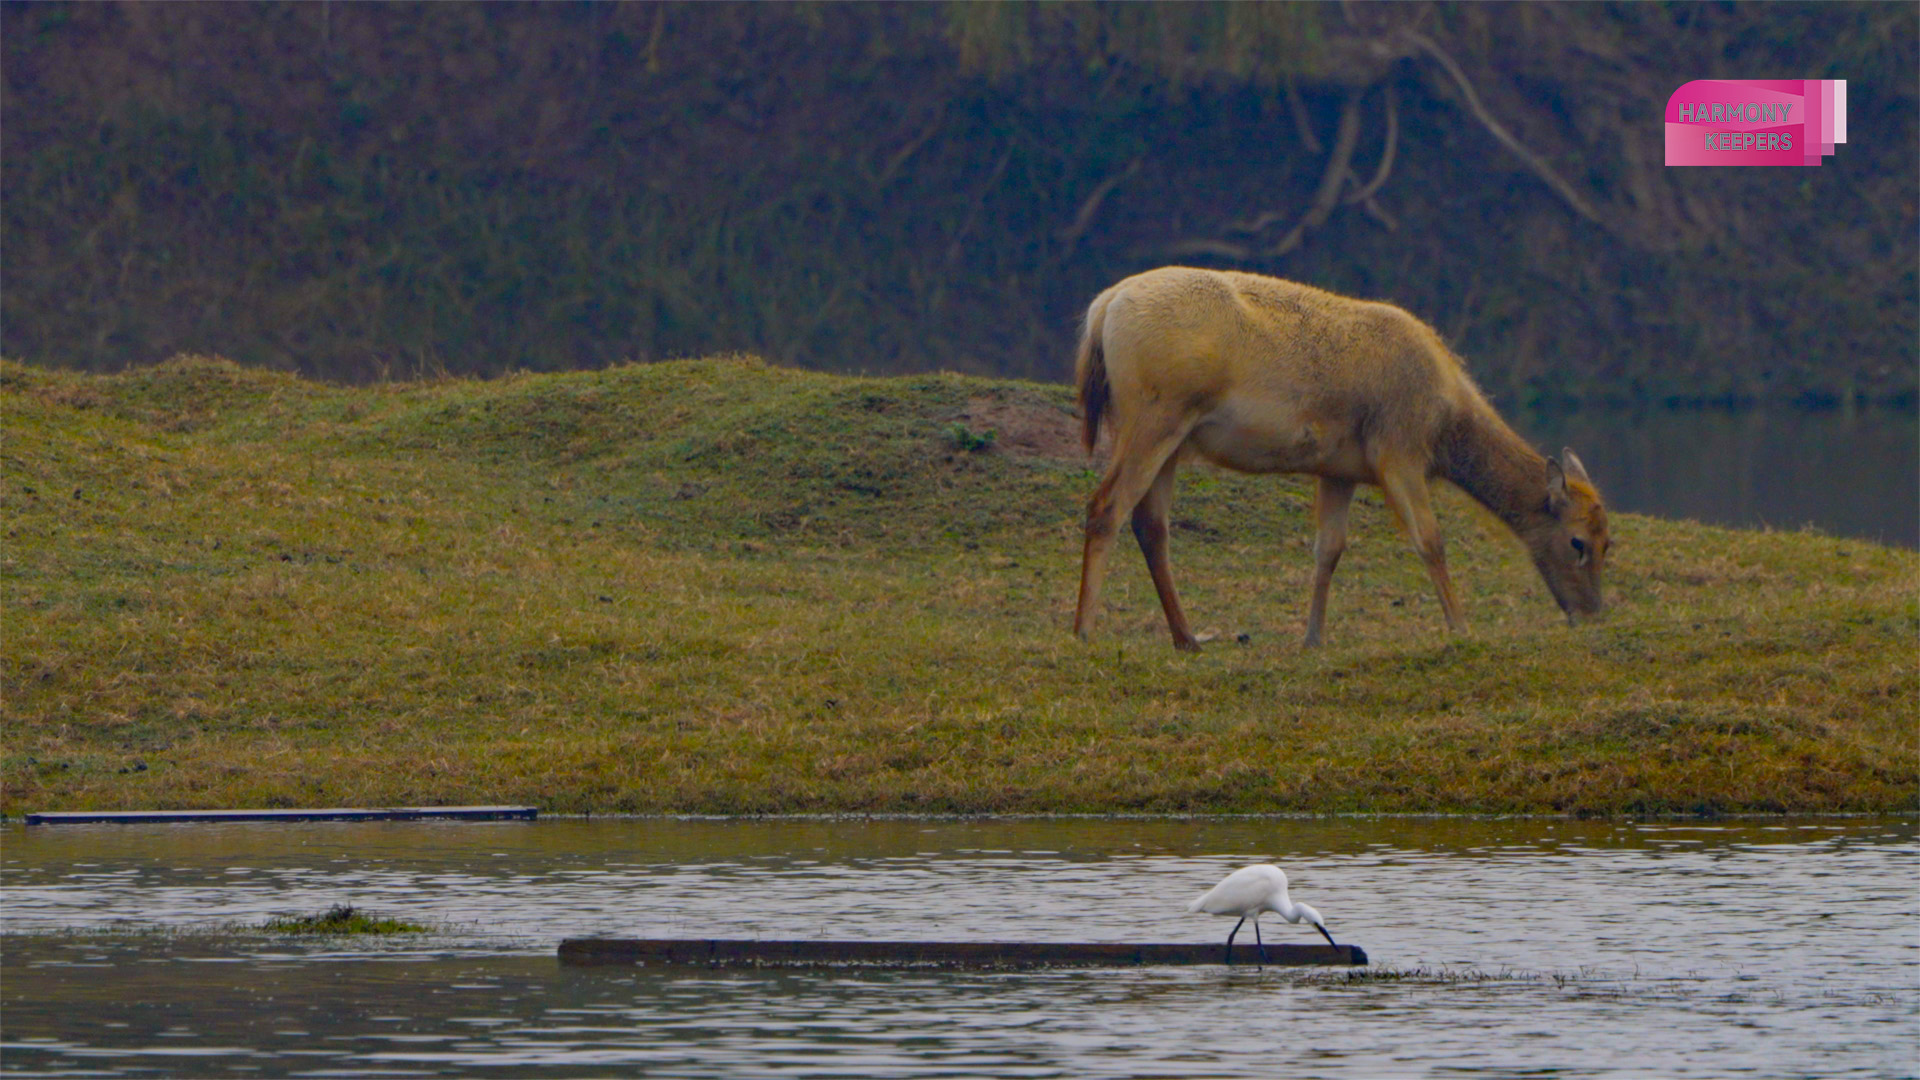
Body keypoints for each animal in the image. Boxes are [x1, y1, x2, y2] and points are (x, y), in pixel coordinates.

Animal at [1082, 267, 1605, 645]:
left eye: (1609, 541)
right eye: (1578, 542)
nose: (1592, 614)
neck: (1443, 425)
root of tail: (1103, 307)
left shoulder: (1339, 469)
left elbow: (1328, 549)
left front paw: (1313, 638)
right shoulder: (1397, 449)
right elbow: (1430, 539)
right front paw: (1460, 627)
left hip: (1171, 435)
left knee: (1151, 525)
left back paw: (1187, 637)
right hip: (1154, 414)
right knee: (1106, 505)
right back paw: (1084, 630)